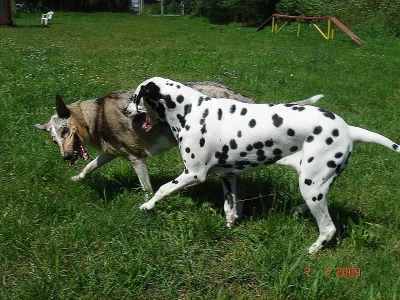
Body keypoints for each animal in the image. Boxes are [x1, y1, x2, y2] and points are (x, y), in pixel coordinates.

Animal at [126, 77, 400, 253]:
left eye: (135, 97)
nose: (126, 110)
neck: (192, 110)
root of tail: (348, 129)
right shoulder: (228, 177)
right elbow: (229, 208)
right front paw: (230, 225)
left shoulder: (193, 174)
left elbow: (162, 188)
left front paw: (147, 205)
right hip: (317, 184)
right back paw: (297, 211)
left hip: (311, 185)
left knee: (328, 228)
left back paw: (312, 249)